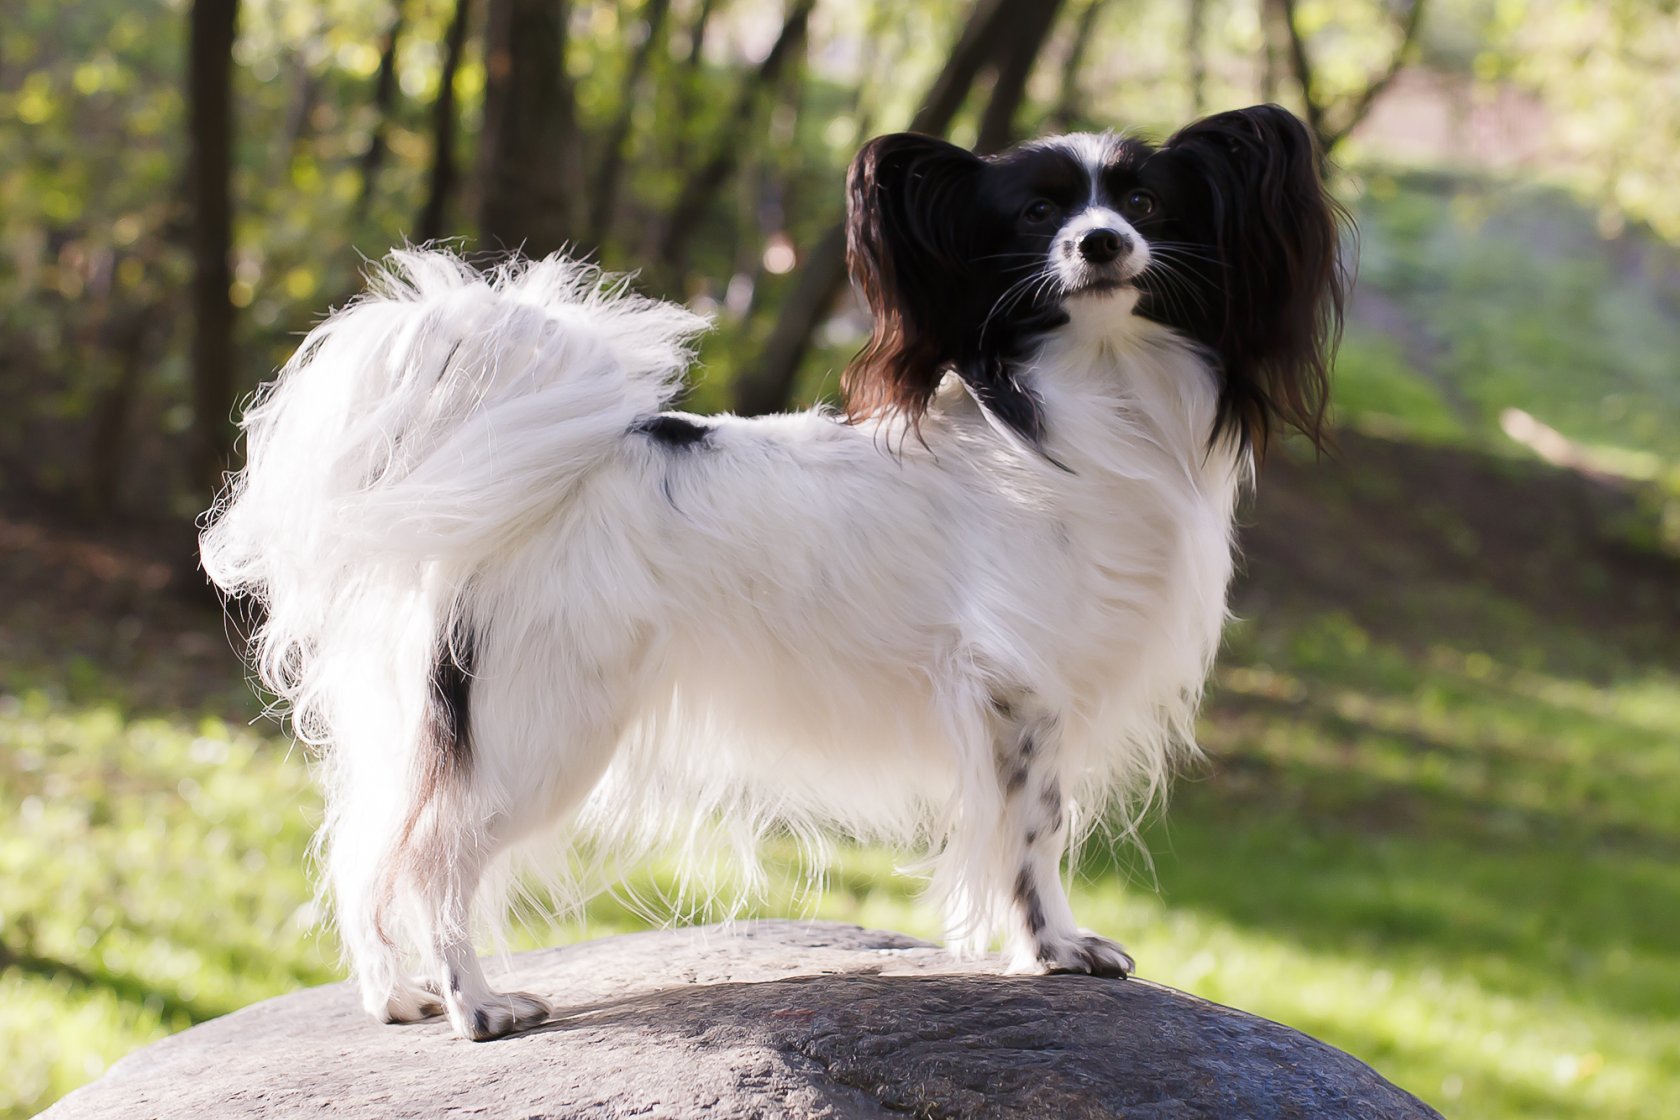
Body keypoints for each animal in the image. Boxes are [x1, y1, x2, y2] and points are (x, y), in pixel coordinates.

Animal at [203, 104, 1344, 1041]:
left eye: (1144, 202)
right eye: (1035, 215)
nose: (1102, 242)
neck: (1084, 408)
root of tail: (535, 481)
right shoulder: (1019, 691)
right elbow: (1033, 833)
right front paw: (1053, 949)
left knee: (368, 849)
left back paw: (395, 998)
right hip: (542, 734)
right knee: (433, 858)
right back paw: (474, 1006)